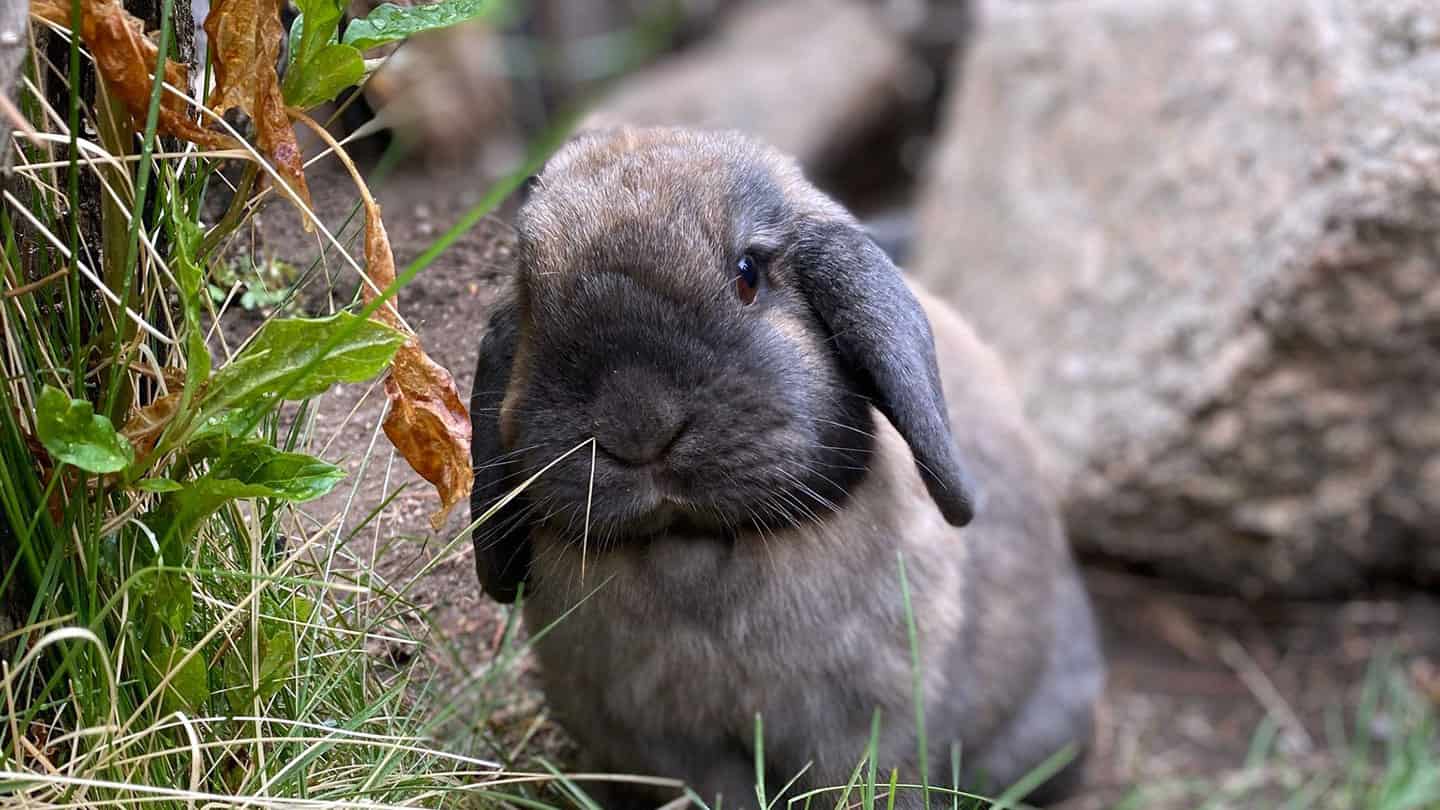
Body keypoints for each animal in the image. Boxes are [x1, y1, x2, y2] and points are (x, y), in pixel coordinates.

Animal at [469, 126, 1105, 809]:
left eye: (747, 275)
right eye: (530, 304)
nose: (636, 426)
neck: (693, 550)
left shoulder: (863, 728)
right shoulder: (664, 747)